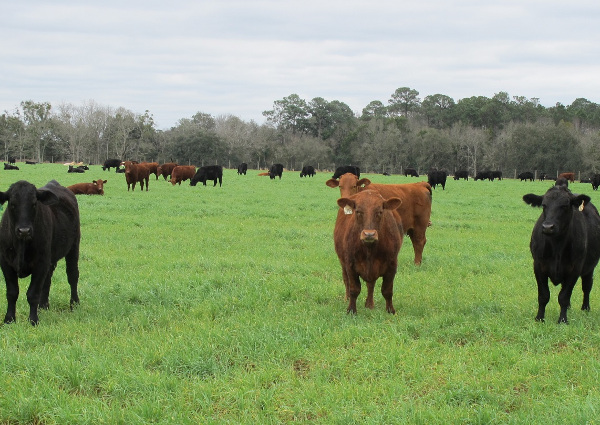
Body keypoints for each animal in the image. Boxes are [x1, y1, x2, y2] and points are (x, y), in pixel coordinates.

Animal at [0, 180, 81, 324]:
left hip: (74, 246)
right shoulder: (5, 262)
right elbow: (12, 293)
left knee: (72, 275)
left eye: (34, 203)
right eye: (12, 204)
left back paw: (74, 304)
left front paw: (33, 320)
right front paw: (9, 319)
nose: (24, 230)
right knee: (47, 280)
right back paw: (43, 306)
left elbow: (33, 293)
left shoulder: (40, 263)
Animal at [520, 186, 600, 322]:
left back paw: (585, 308)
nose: (548, 227)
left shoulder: (575, 269)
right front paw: (539, 318)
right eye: (544, 205)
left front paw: (562, 320)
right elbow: (543, 295)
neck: (557, 246)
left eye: (565, 206)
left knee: (587, 286)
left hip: (589, 268)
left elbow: (564, 296)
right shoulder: (538, 266)